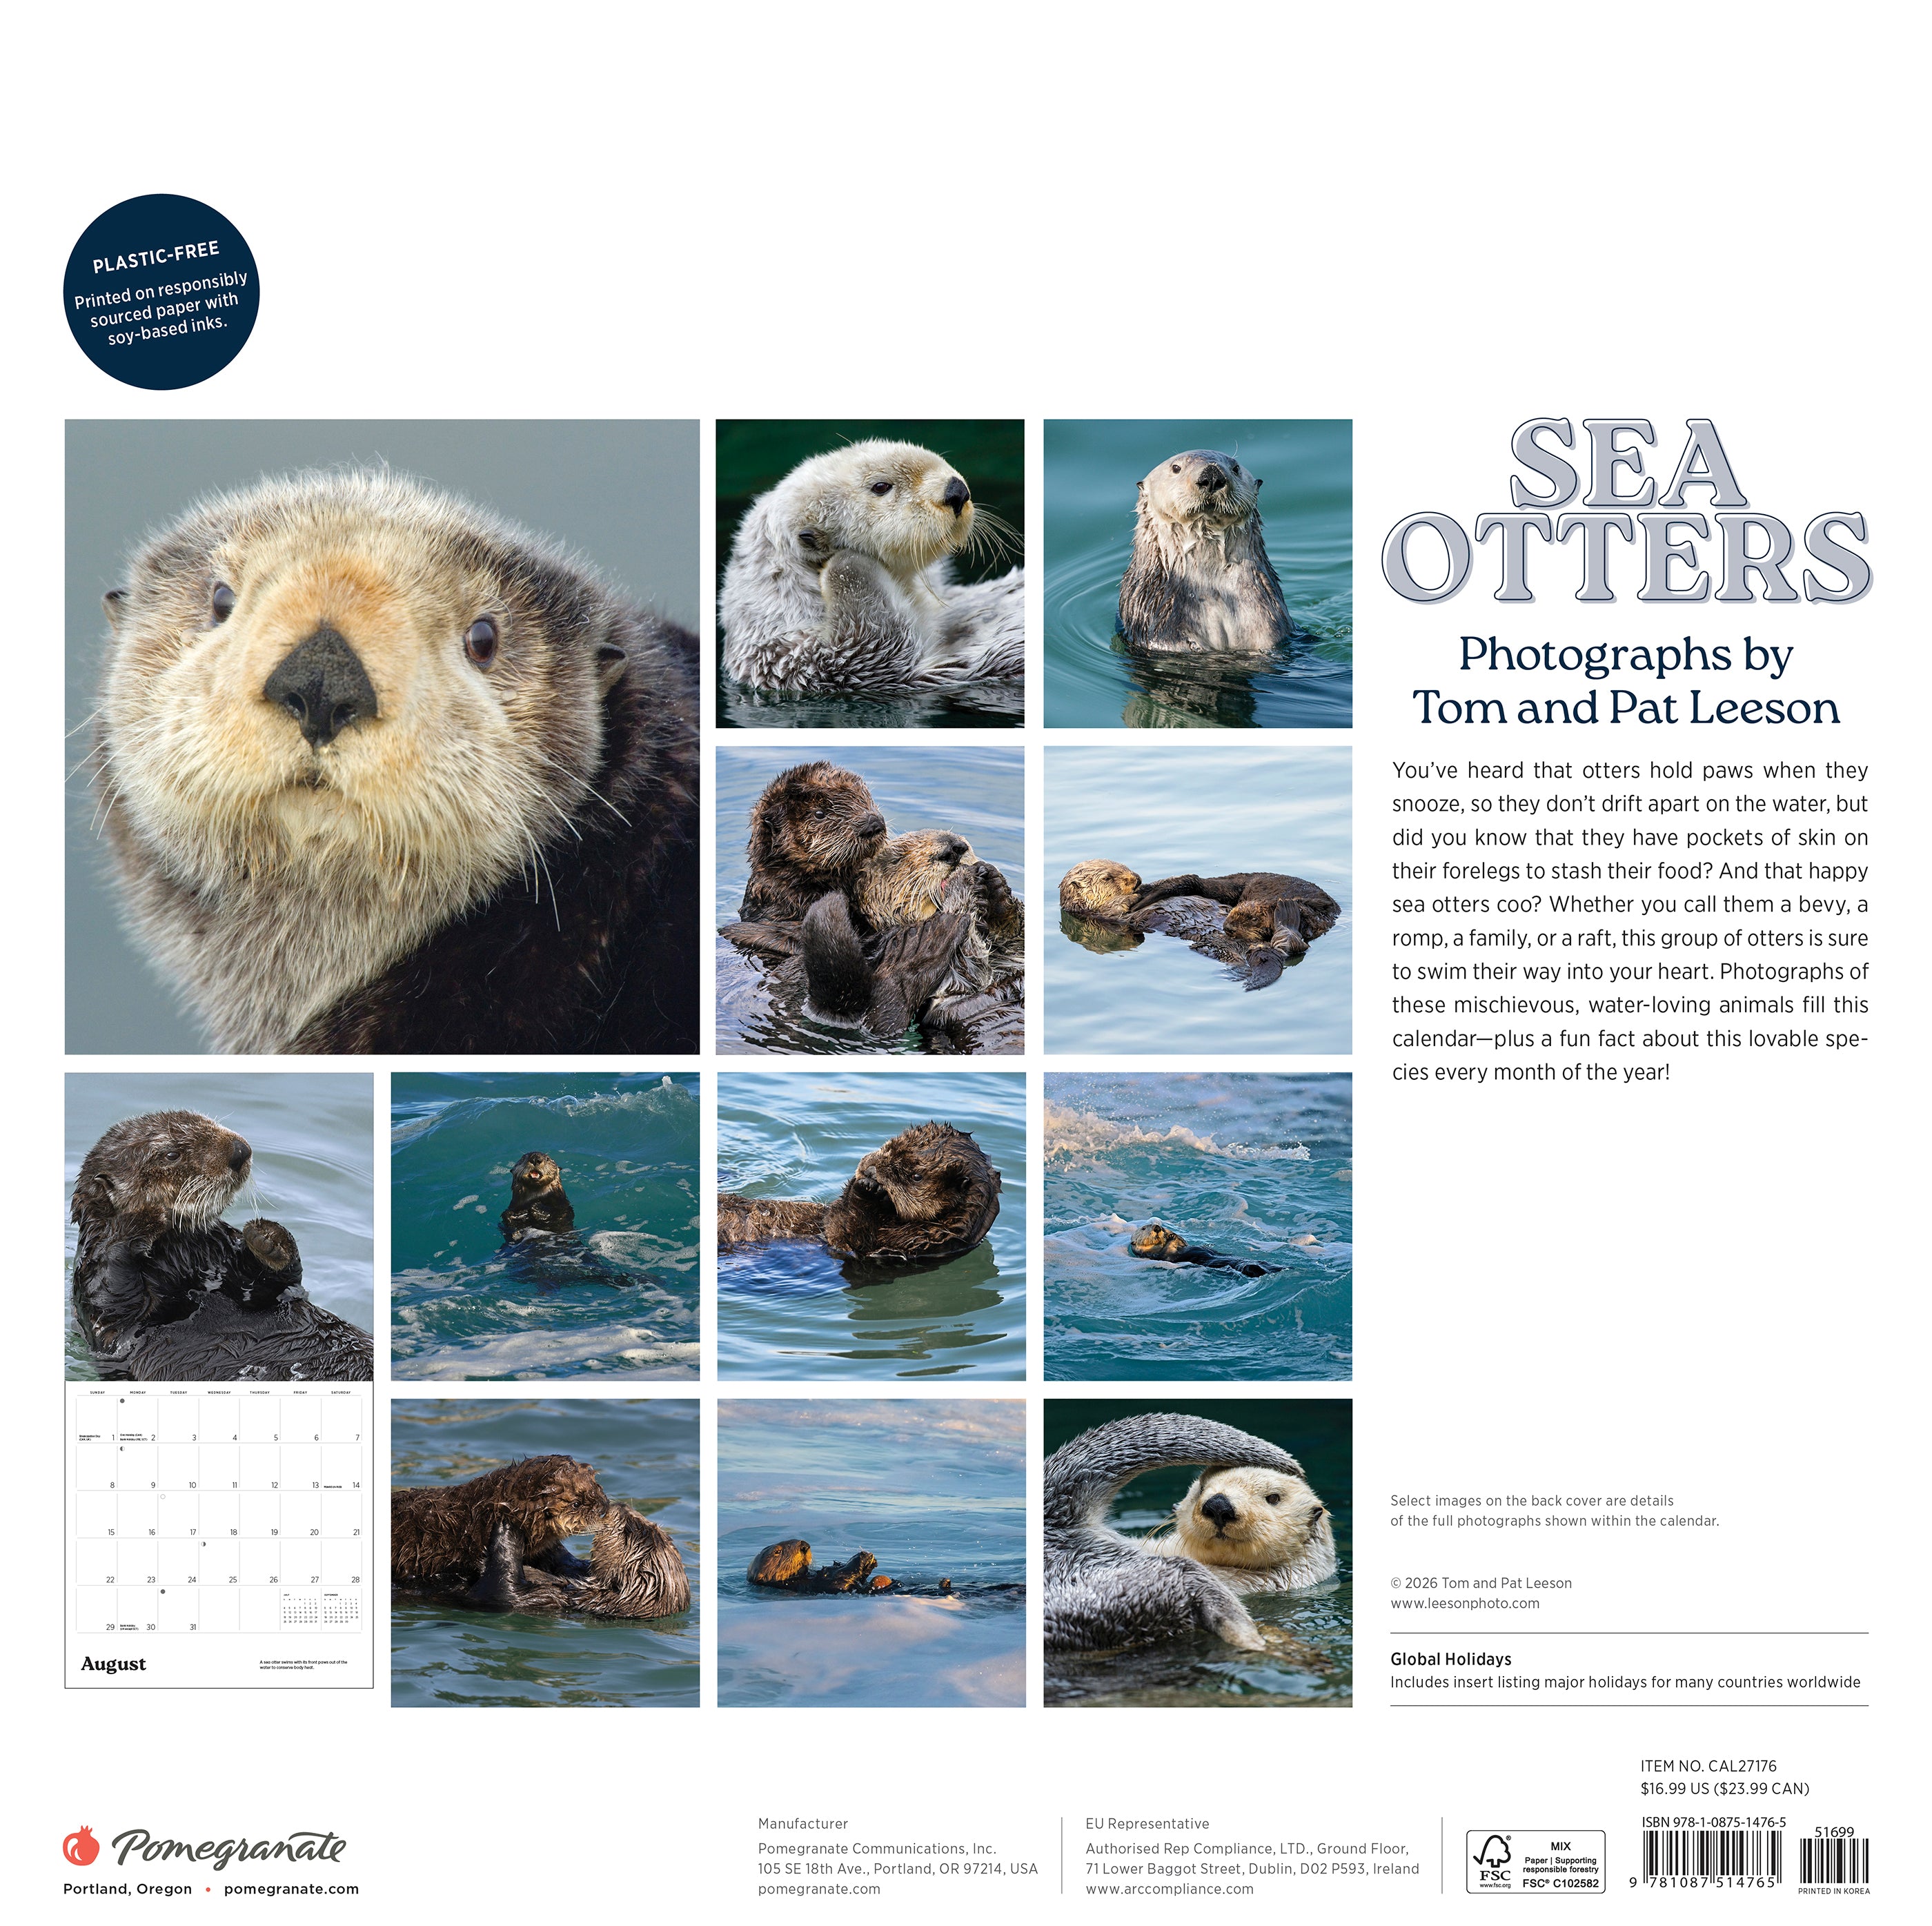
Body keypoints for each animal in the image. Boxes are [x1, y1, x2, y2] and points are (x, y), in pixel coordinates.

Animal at [467, 1503, 690, 1618]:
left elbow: (500, 1589)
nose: (619, 1504)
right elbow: (567, 1562)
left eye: (629, 1530)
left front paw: (508, 1524)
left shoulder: (541, 1599)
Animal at [718, 1121, 1001, 1265]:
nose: (871, 1169)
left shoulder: (910, 1245)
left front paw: (869, 1189)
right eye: (889, 1145)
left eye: (916, 1176)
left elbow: (843, 1232)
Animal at [1117, 450, 1304, 653]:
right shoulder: (1158, 617)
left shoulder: (1268, 612)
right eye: (1176, 468)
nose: (1212, 476)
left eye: (1235, 468)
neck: (1214, 591)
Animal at [1129, 1221, 1281, 1279]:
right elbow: (1167, 1252)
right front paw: (1170, 1238)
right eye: (1144, 1228)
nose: (1157, 1228)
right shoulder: (1160, 1256)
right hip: (1248, 1268)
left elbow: (1184, 1243)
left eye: (1158, 1225)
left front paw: (1171, 1234)